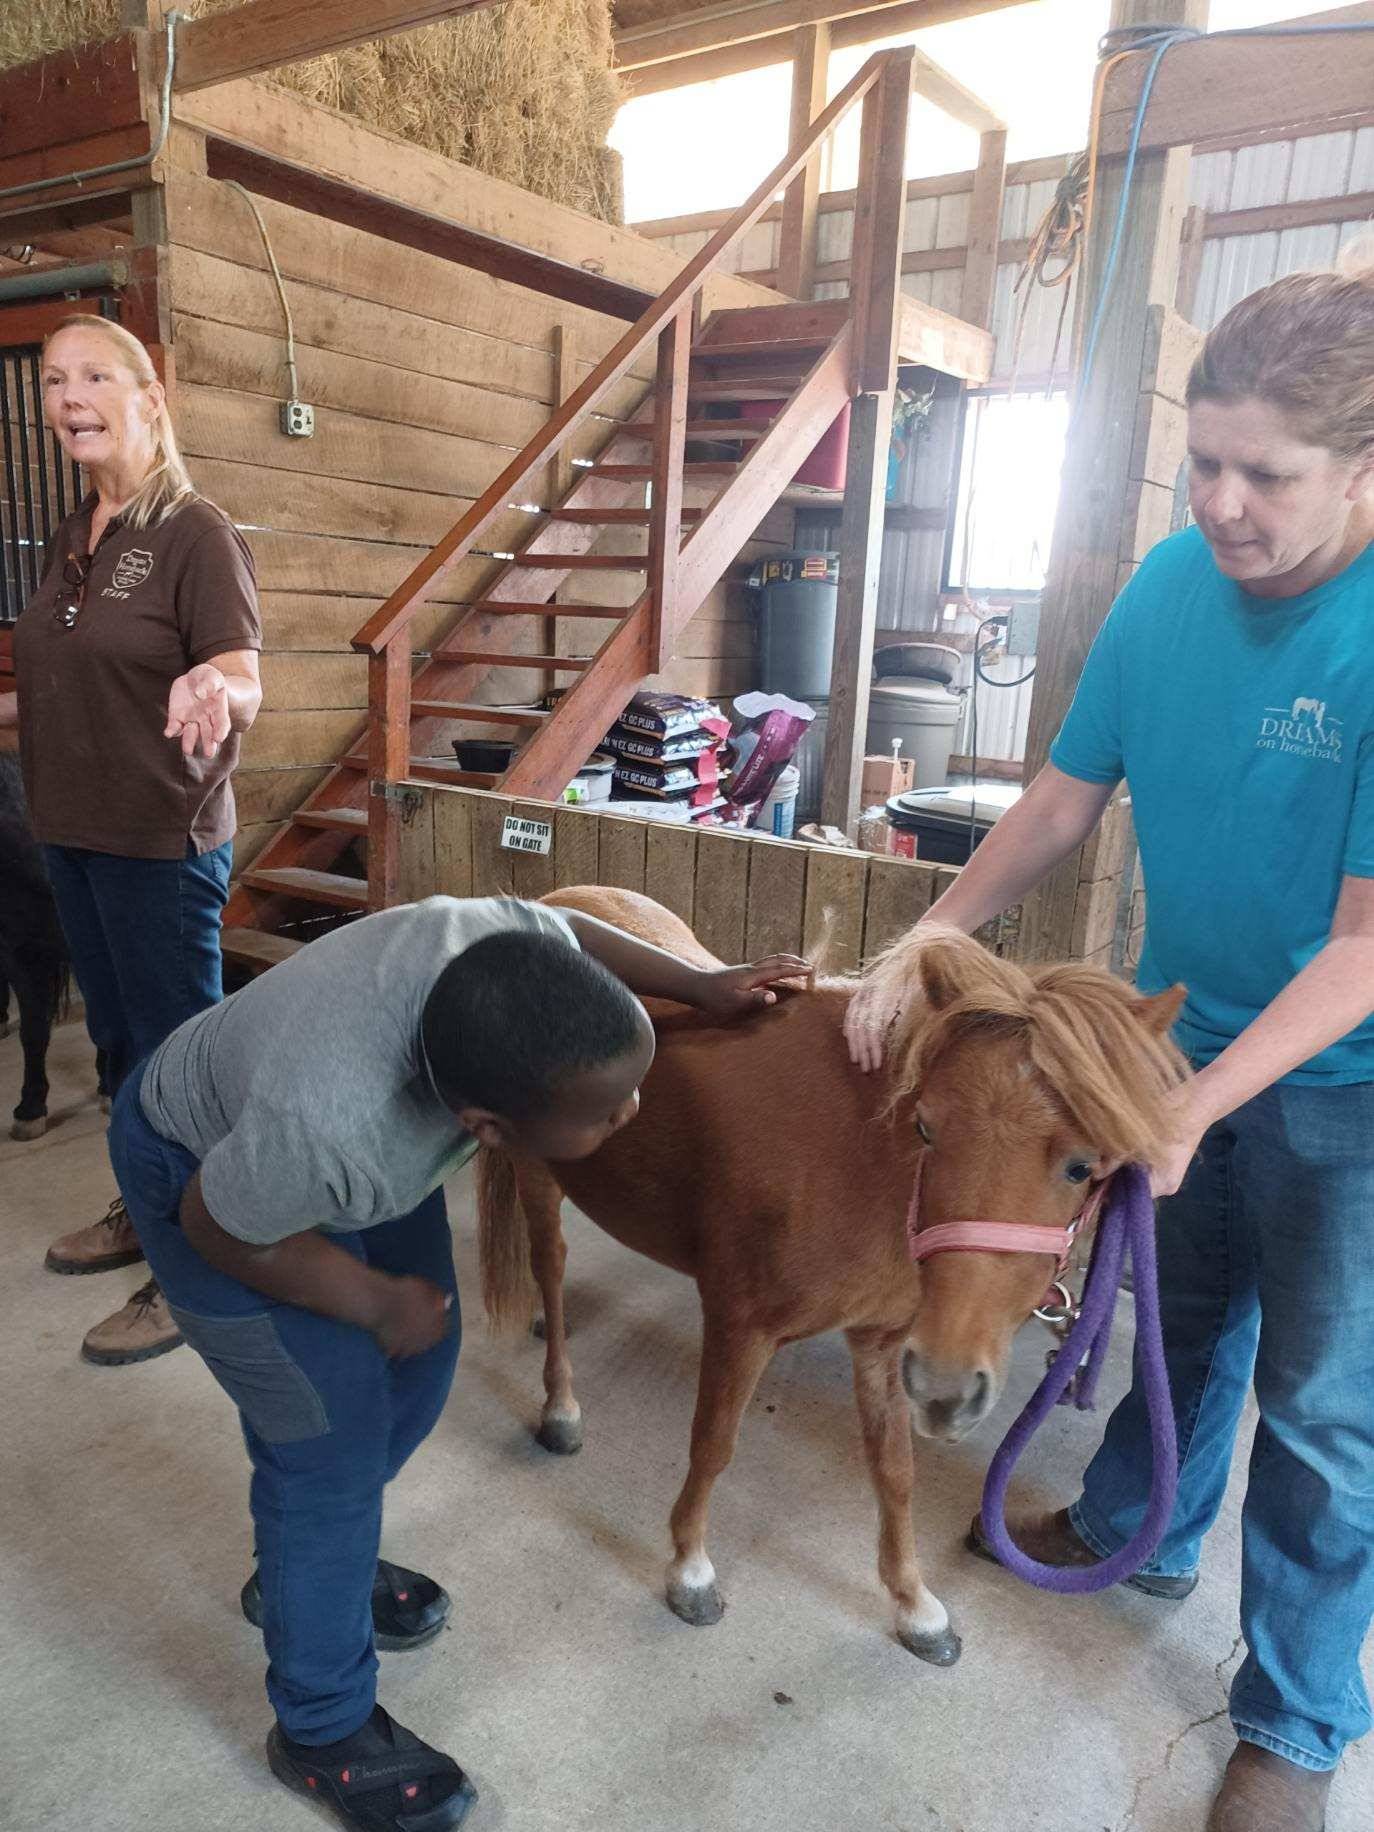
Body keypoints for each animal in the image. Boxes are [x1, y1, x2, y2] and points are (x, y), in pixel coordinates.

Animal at [479, 883, 1187, 1663]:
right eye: (927, 1128)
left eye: (1084, 1166)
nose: (950, 1389)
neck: (854, 1156)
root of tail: (547, 901)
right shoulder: (740, 1323)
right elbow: (714, 1444)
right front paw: (690, 1570)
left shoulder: (884, 1344)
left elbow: (895, 1472)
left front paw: (915, 1606)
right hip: (539, 1175)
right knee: (548, 1265)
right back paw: (560, 1406)